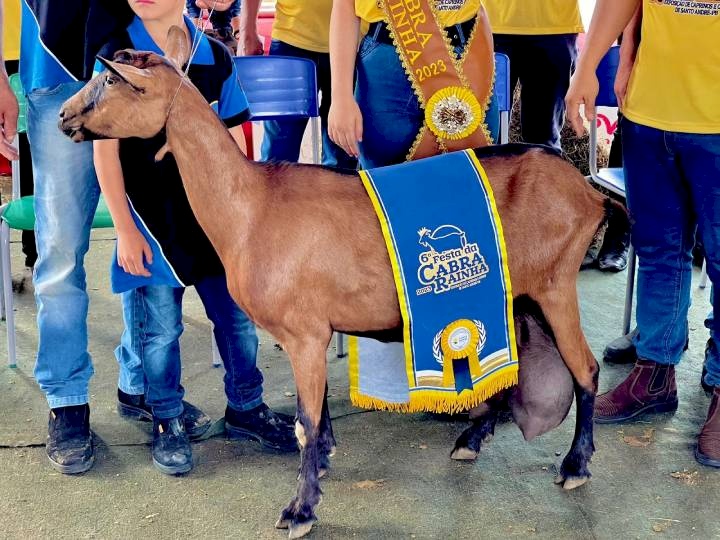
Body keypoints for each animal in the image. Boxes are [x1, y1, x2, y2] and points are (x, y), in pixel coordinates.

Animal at [58, 26, 625, 539]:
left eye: (110, 80)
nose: (64, 117)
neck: (251, 206)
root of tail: (588, 191)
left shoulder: (305, 332)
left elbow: (304, 423)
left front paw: (301, 509)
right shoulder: (313, 331)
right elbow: (315, 414)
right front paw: (326, 460)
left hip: (554, 284)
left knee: (585, 369)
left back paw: (575, 466)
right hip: (514, 296)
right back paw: (470, 440)